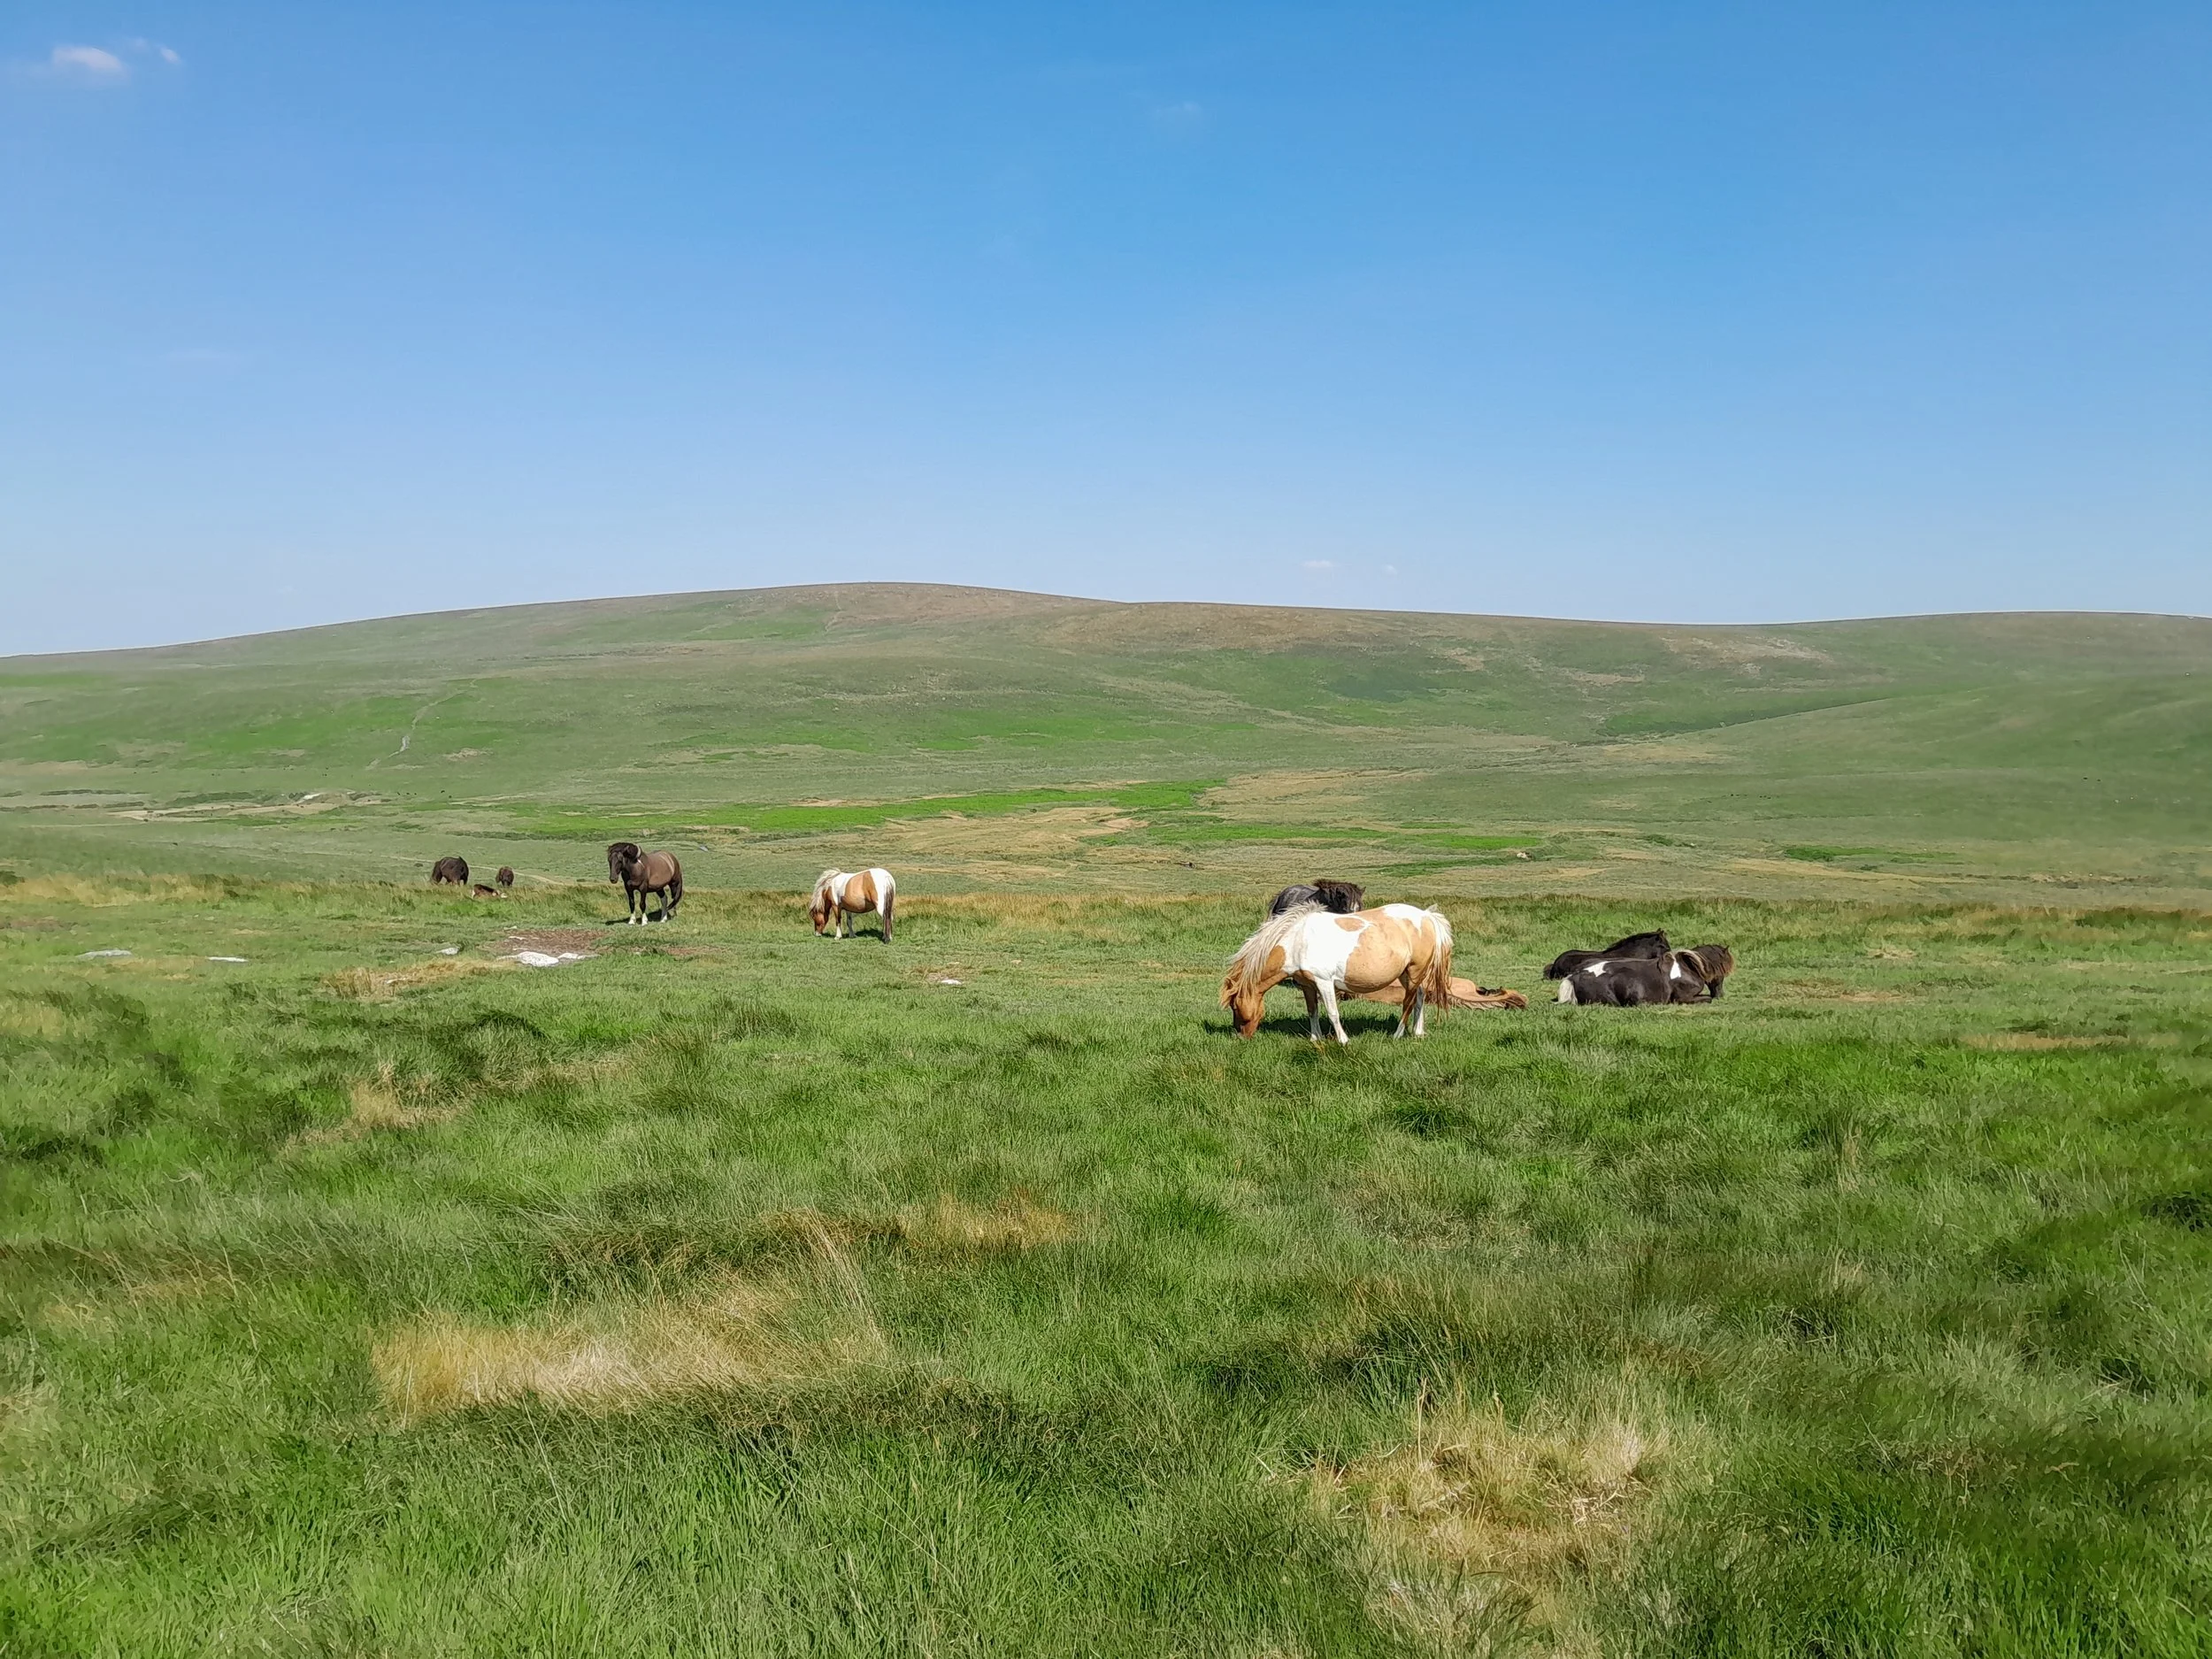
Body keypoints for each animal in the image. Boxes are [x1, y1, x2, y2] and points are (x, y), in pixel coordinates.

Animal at [1221, 903, 1454, 1044]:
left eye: (1234, 1006)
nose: (1240, 1037)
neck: (1297, 941)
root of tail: (1427, 916)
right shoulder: (1307, 984)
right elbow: (1312, 1011)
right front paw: (1315, 1038)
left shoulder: (1324, 982)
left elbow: (1333, 1012)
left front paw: (1343, 1040)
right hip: (1408, 974)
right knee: (1420, 997)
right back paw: (1418, 1032)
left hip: (1414, 971)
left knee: (1408, 1002)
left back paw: (1397, 1034)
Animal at [1555, 945, 1732, 1006]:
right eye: (1721, 974)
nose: (1721, 994)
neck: (1688, 968)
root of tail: (1574, 976)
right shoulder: (1685, 998)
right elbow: (1706, 998)